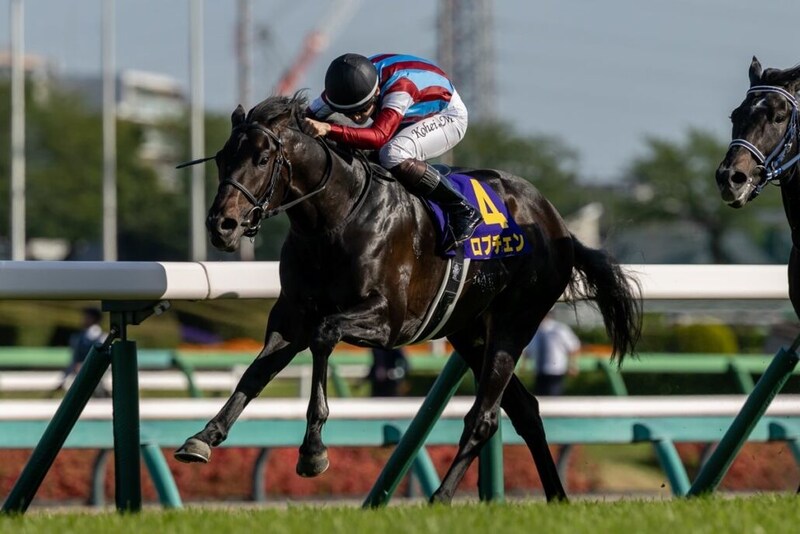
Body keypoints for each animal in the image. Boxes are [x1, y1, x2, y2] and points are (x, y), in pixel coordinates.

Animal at [173, 93, 642, 504]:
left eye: (262, 158)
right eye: (222, 157)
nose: (221, 225)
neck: (336, 219)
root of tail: (556, 222)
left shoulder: (390, 322)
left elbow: (324, 336)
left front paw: (313, 452)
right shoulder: (291, 315)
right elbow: (256, 373)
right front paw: (202, 438)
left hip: (515, 322)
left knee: (485, 417)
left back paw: (441, 497)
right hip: (469, 331)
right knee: (524, 409)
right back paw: (556, 496)